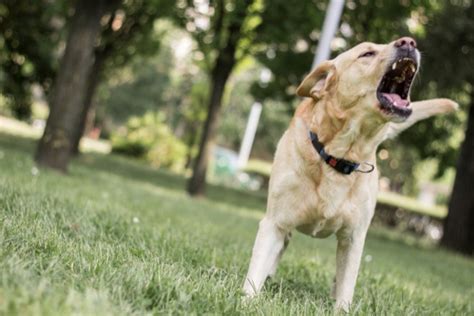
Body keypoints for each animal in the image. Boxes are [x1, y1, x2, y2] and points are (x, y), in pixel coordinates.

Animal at [243, 37, 458, 312]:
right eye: (367, 53)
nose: (408, 41)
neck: (339, 156)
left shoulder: (353, 238)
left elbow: (347, 285)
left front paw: (341, 307)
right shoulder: (274, 223)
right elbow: (256, 269)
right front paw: (247, 301)